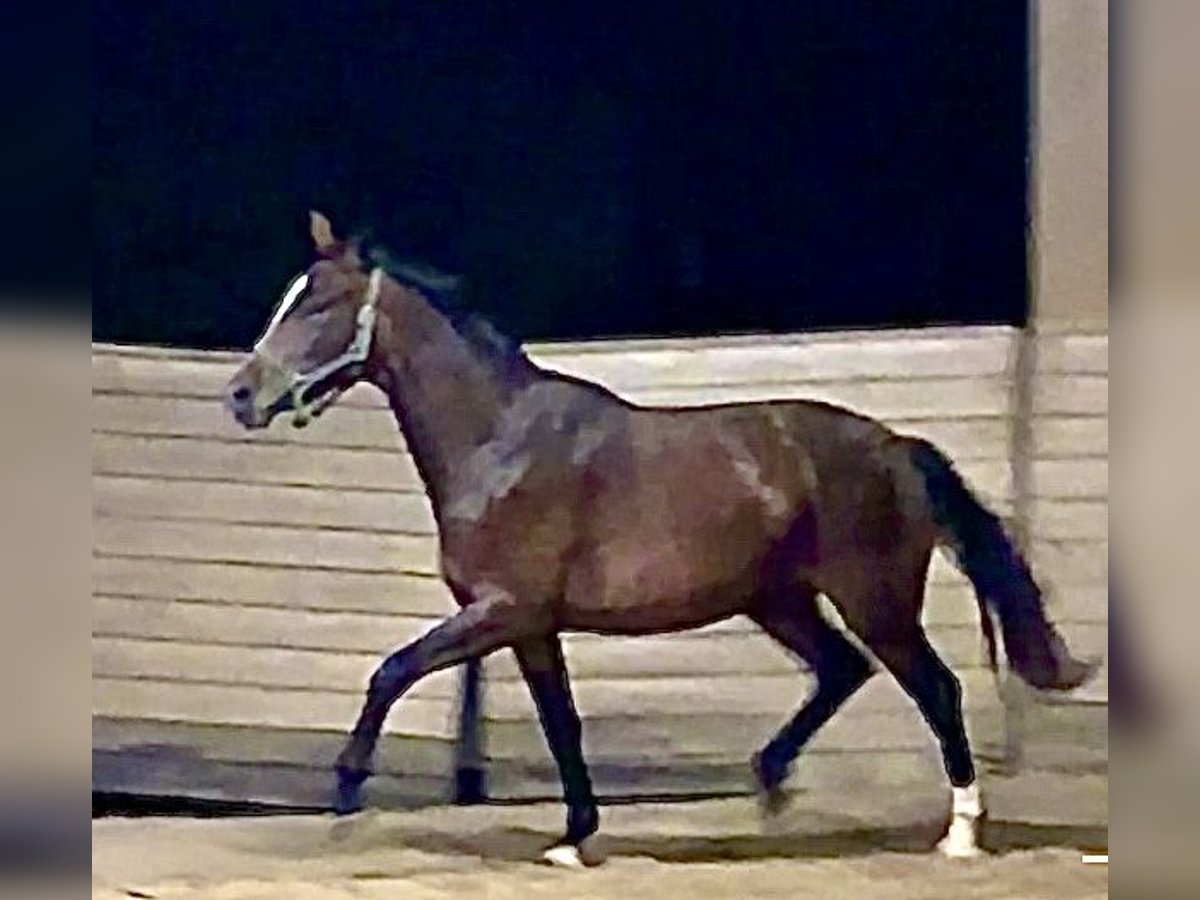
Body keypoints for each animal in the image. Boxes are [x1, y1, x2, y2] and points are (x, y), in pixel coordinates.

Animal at [225, 211, 1099, 868]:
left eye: (318, 305)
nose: (240, 394)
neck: (497, 441)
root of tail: (895, 447)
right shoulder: (530, 626)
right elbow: (561, 723)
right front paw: (574, 839)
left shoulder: (502, 610)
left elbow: (391, 672)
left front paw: (345, 798)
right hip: (779, 599)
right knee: (842, 671)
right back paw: (769, 782)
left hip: (873, 600)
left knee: (935, 688)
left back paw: (959, 834)